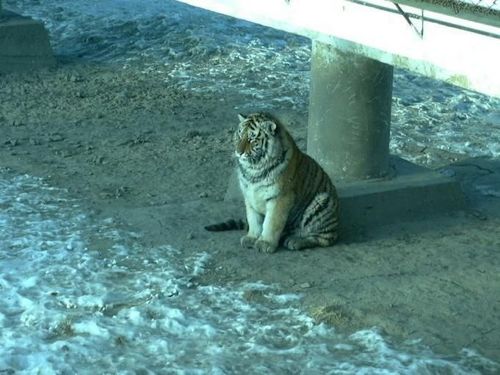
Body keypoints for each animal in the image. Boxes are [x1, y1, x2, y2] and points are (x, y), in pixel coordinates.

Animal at [204, 111, 340, 253]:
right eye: (239, 135)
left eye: (252, 139)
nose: (238, 152)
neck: (253, 169)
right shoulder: (249, 196)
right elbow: (253, 220)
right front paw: (251, 238)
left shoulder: (280, 198)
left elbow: (271, 223)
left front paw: (265, 243)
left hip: (323, 201)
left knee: (324, 238)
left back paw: (295, 241)